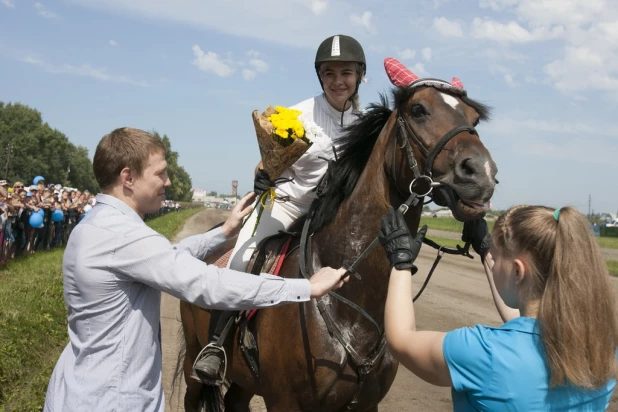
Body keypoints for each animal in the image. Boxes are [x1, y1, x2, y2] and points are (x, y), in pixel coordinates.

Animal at [178, 62, 496, 412]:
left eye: (473, 119)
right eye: (418, 110)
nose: (481, 174)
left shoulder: (364, 404)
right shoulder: (285, 401)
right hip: (194, 360)